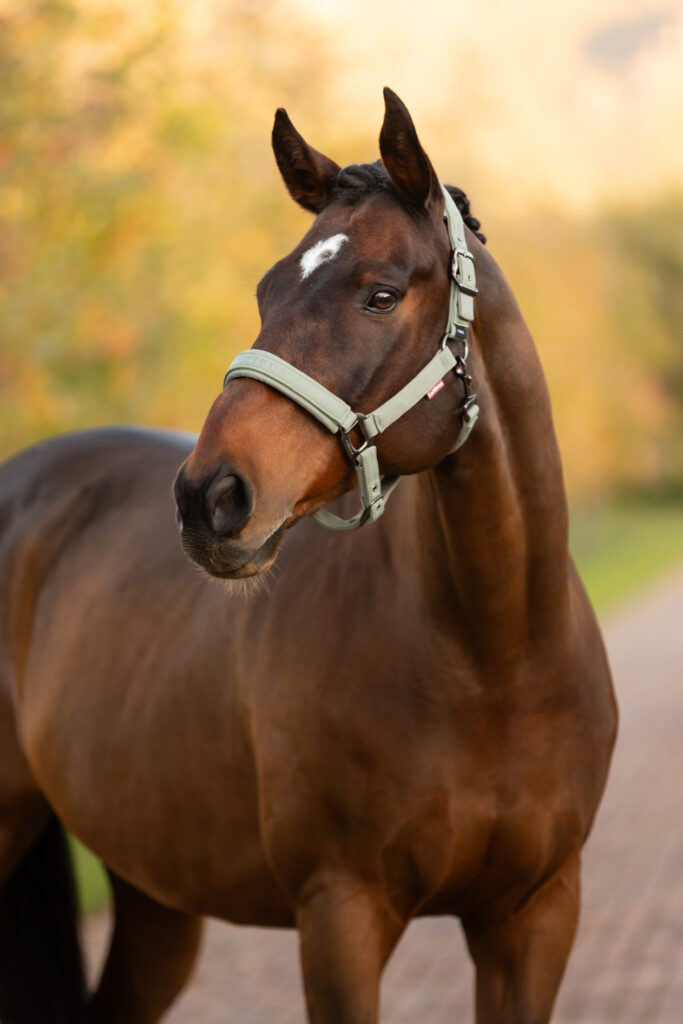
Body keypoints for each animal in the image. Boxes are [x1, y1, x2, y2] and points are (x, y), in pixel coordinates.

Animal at [0, 88, 616, 1023]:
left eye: (381, 294)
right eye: (266, 290)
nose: (208, 498)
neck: (494, 662)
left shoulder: (535, 915)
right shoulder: (341, 916)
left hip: (155, 889)